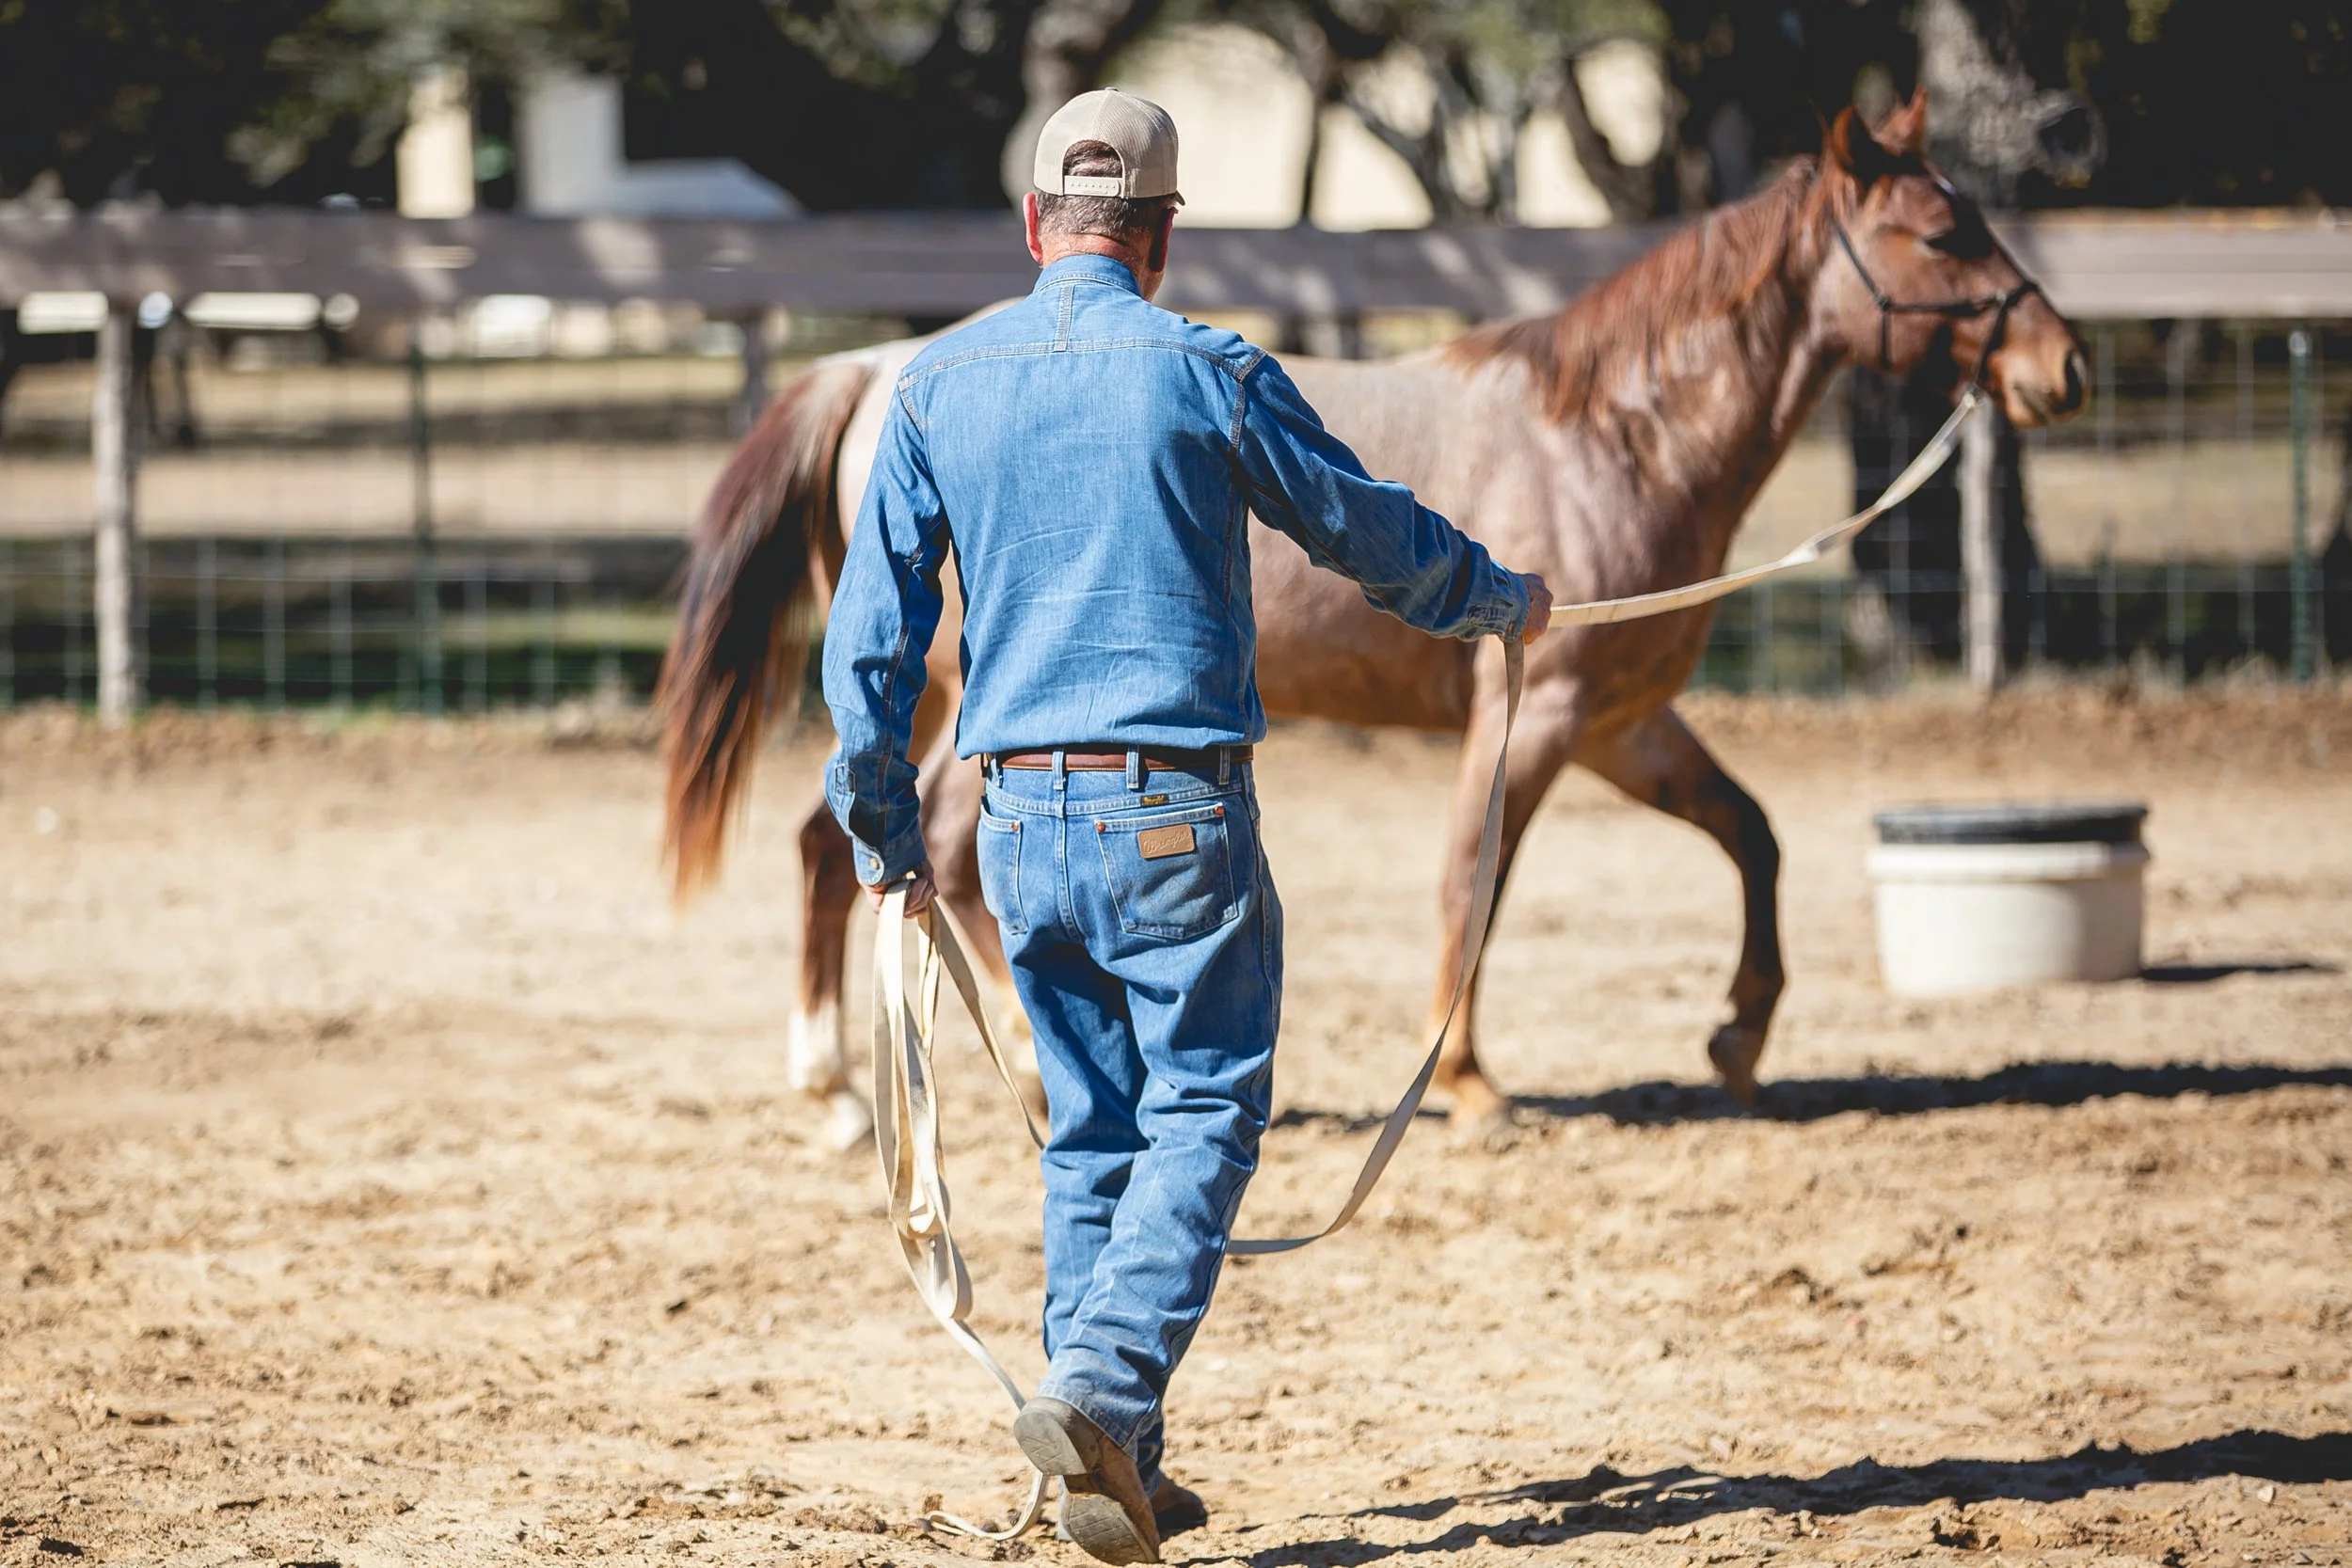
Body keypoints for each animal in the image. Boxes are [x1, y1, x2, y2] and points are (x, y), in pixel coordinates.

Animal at [657, 93, 2087, 1146]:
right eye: (1942, 233)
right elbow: (1472, 879)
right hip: (960, 705)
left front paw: (1738, 1035)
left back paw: (847, 1092)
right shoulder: (1536, 715)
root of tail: (865, 374)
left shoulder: (1625, 724)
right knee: (935, 858)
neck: (1612, 435)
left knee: (850, 846)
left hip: (921, 705)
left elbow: (1754, 835)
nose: (2061, 366)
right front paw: (1468, 1082)